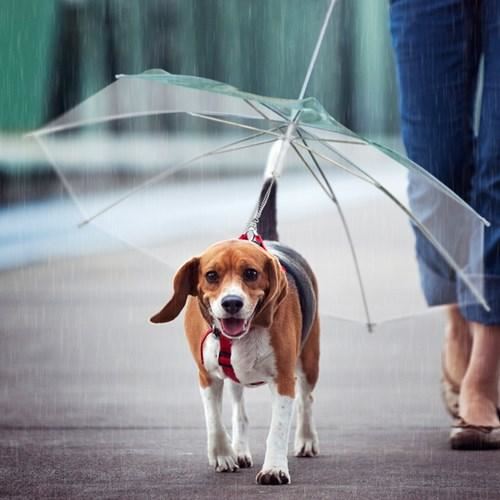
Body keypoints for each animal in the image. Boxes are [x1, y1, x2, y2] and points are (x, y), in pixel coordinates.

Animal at [149, 177, 320, 484]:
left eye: (251, 273)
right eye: (211, 275)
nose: (231, 303)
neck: (240, 335)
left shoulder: (284, 379)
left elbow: (278, 429)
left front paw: (274, 468)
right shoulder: (206, 375)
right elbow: (214, 420)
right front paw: (223, 455)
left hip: (309, 361)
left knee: (306, 400)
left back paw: (306, 439)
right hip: (234, 379)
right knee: (240, 412)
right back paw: (239, 450)